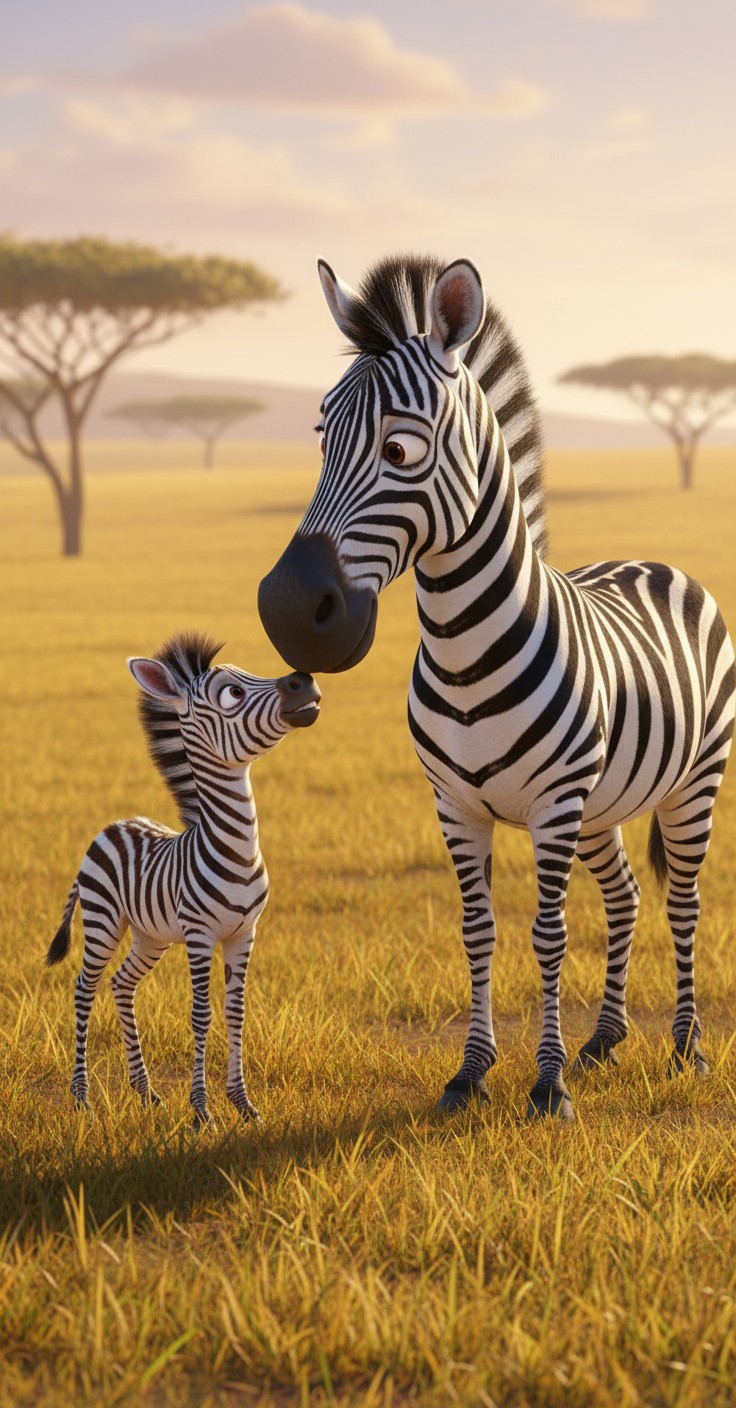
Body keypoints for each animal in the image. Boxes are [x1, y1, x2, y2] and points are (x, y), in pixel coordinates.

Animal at [47, 631, 321, 1129]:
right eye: (232, 692)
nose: (303, 679)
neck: (235, 849)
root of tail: (112, 825)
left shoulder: (244, 933)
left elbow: (236, 1012)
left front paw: (243, 1104)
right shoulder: (199, 933)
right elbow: (200, 1014)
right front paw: (201, 1112)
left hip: (151, 936)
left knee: (122, 984)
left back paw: (145, 1091)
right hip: (103, 922)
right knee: (84, 987)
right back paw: (81, 1098)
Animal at [258, 254, 735, 1121]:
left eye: (400, 449)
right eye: (319, 435)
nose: (286, 609)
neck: (463, 652)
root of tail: (655, 559)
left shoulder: (552, 806)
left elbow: (548, 934)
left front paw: (545, 1085)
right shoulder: (454, 803)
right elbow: (477, 931)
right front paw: (472, 1071)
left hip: (692, 784)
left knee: (682, 900)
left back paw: (686, 1047)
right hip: (602, 805)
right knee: (625, 898)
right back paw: (604, 1040)